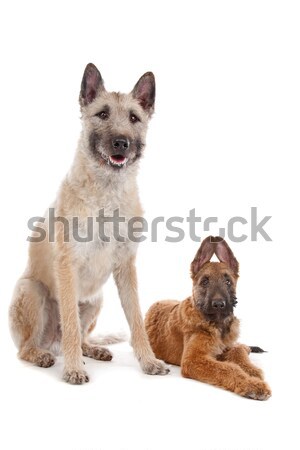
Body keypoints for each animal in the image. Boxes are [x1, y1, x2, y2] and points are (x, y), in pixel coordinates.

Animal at [145, 237, 272, 400]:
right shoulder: (193, 360)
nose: (219, 305)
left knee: (241, 346)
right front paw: (251, 384)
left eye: (228, 282)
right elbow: (227, 368)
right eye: (205, 282)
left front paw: (252, 370)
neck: (217, 326)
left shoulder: (227, 347)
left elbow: (237, 352)